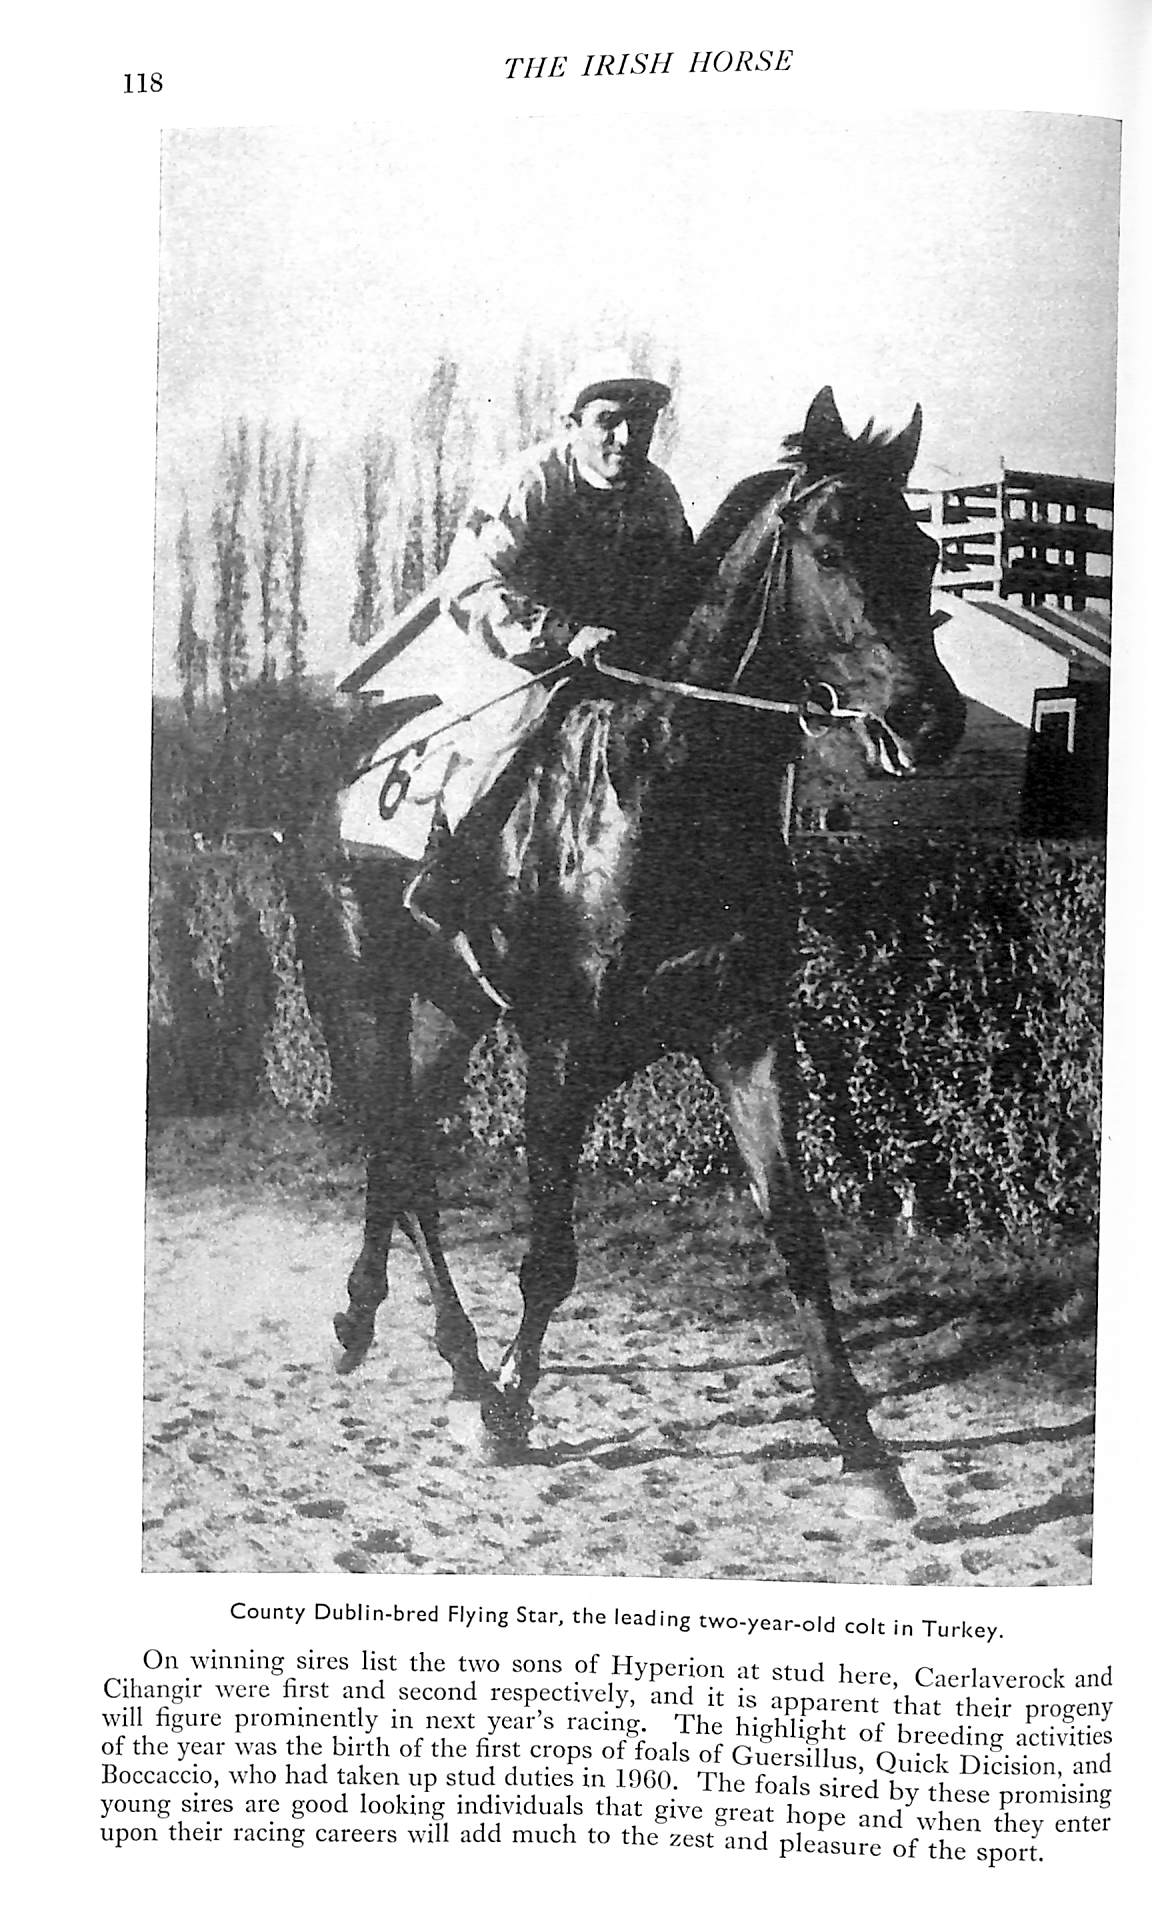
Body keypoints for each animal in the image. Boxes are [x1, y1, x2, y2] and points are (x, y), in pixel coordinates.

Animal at [293, 387, 966, 1520]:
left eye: (922, 551)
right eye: (831, 546)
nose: (930, 719)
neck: (665, 789)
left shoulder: (746, 1034)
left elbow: (799, 1237)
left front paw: (865, 1446)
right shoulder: (562, 1050)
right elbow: (551, 1257)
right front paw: (512, 1406)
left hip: (446, 1011)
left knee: (400, 1149)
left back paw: (370, 1320)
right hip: (363, 996)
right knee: (403, 1155)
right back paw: (461, 1360)